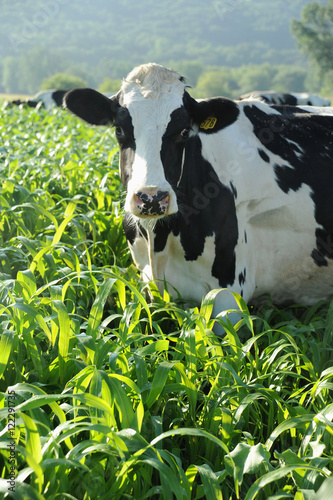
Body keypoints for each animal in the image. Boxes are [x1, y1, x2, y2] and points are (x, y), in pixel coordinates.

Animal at [63, 62, 332, 326]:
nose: (152, 197)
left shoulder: (228, 295)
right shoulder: (151, 287)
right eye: (119, 129)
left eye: (184, 131)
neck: (159, 241)